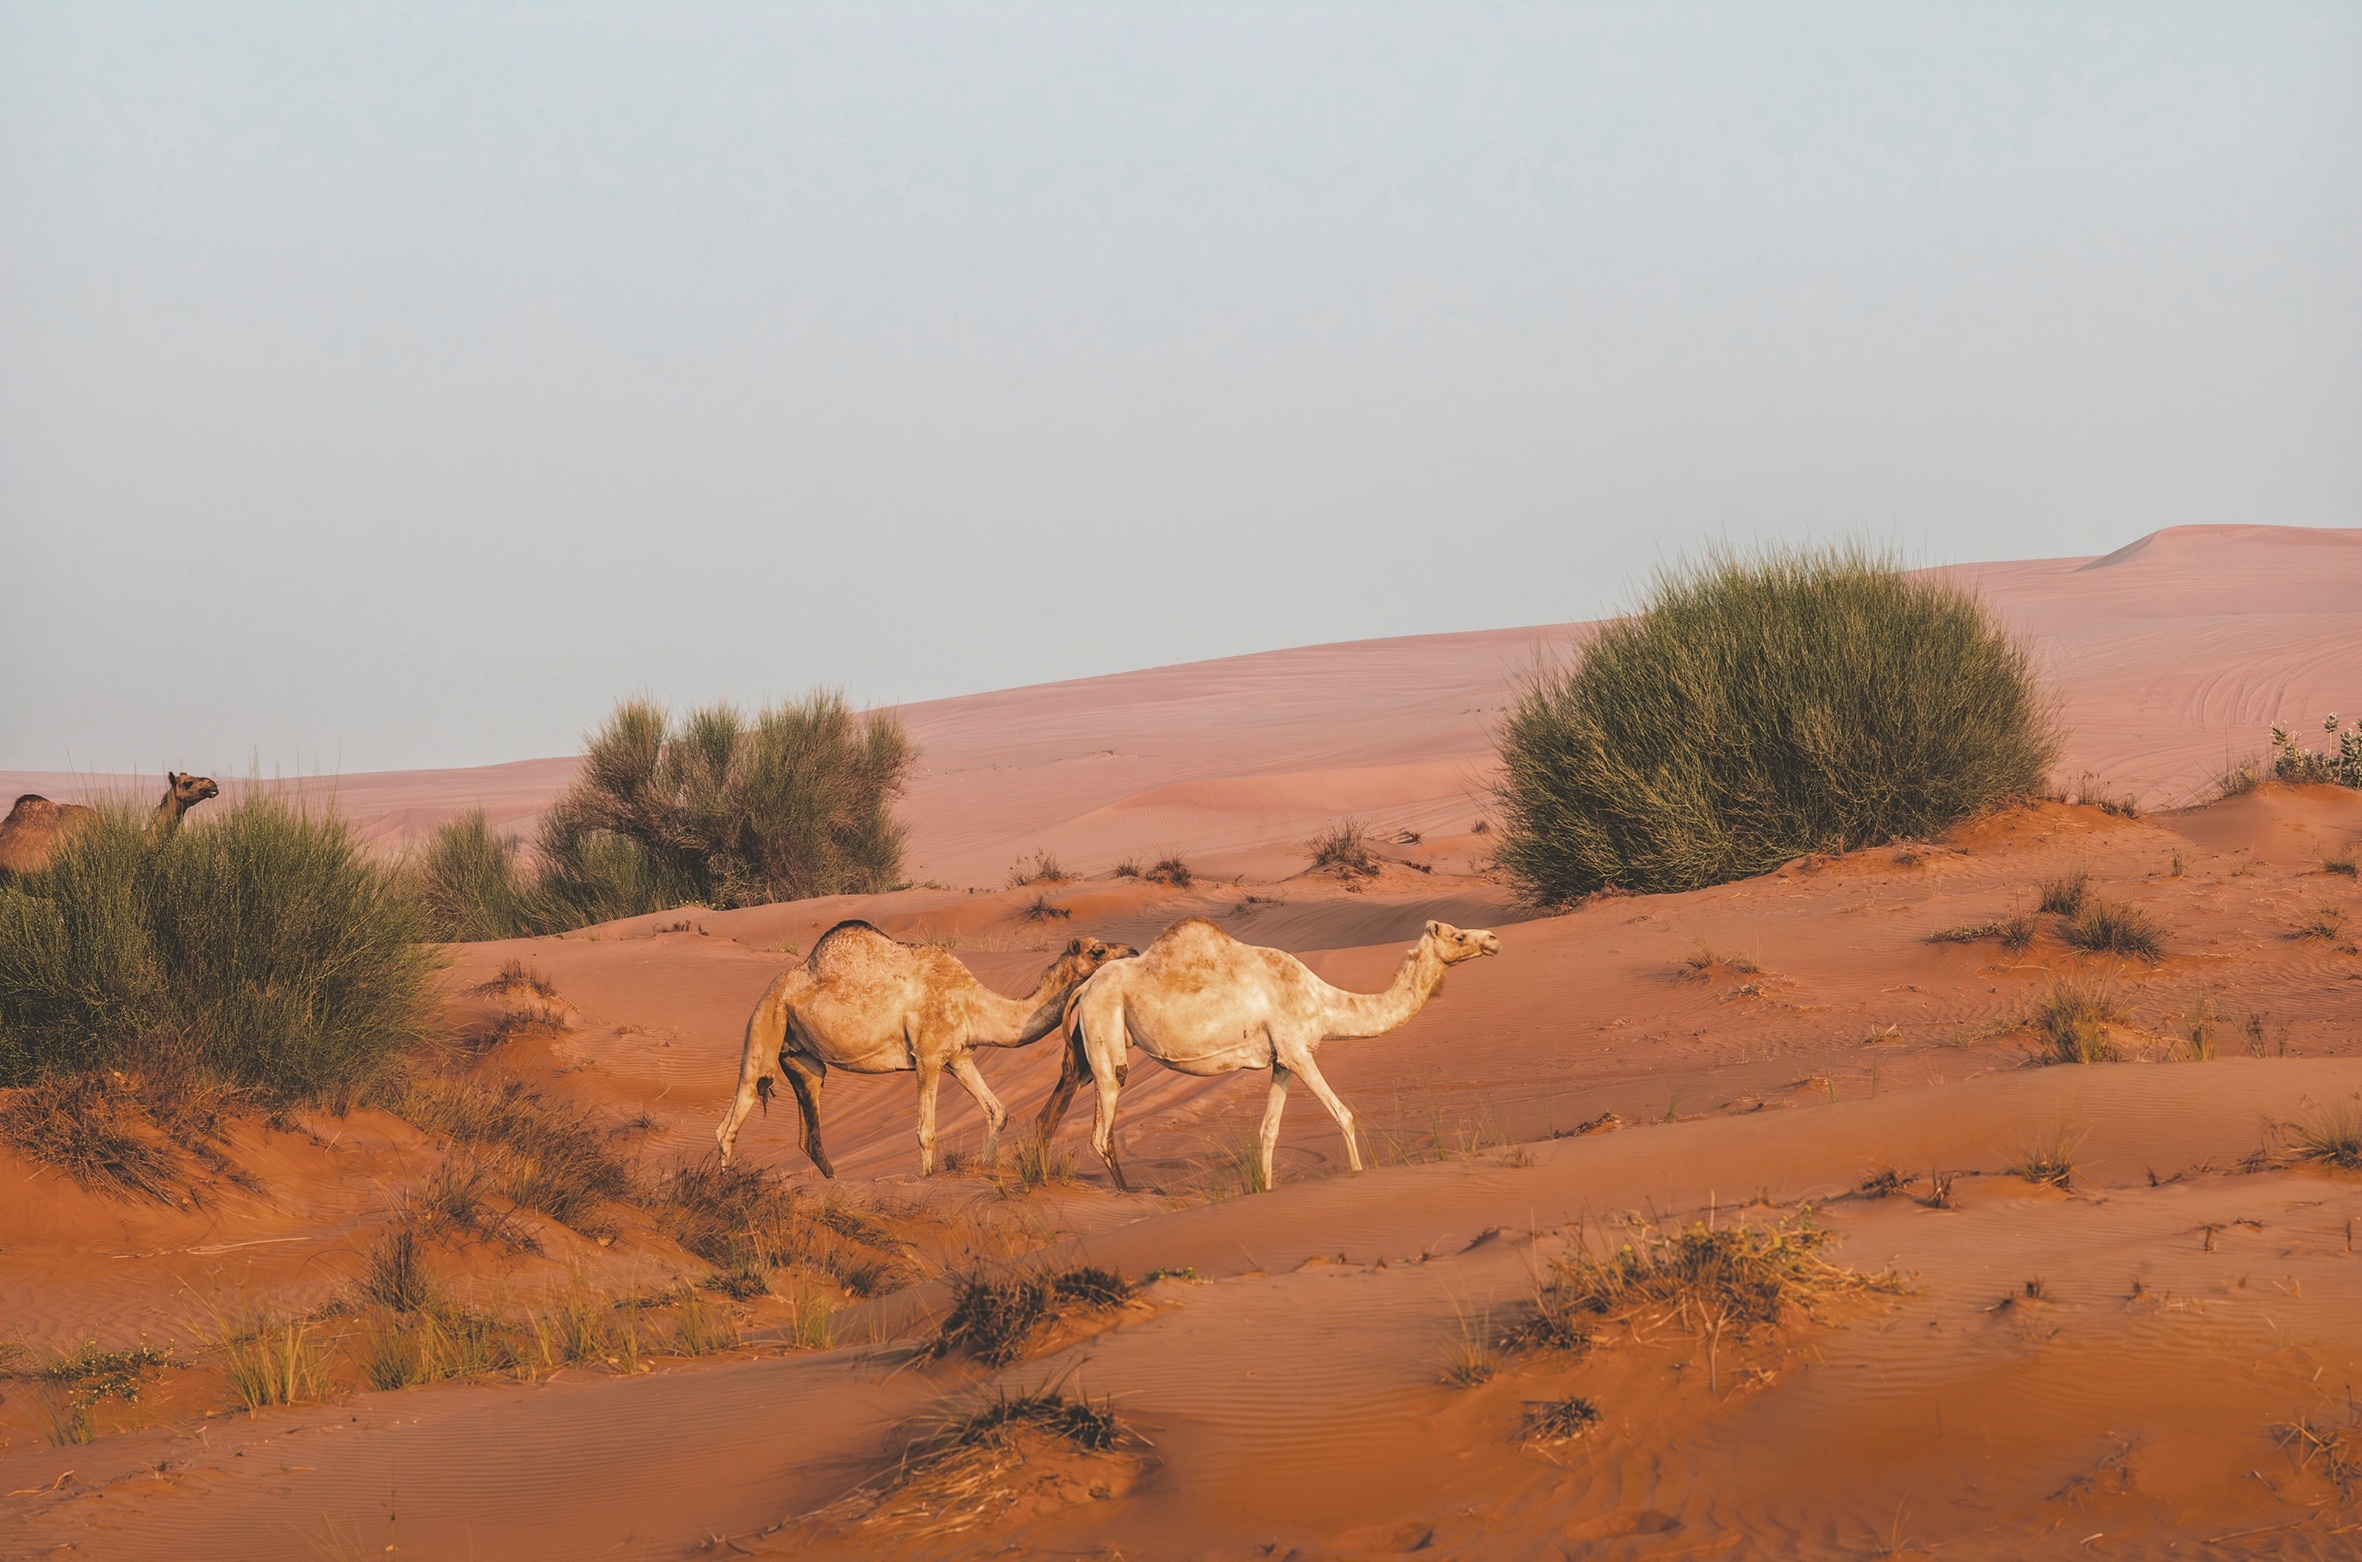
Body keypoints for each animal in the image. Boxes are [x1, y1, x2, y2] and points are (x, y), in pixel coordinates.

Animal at [715, 921, 1137, 1177]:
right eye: (1097, 951)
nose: (1133, 951)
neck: (972, 1002)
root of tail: (777, 983)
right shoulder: (928, 1056)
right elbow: (926, 1132)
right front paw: (929, 1178)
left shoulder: (959, 1056)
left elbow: (997, 1111)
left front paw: (987, 1167)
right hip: (765, 1021)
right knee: (738, 1107)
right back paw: (725, 1184)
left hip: (800, 1054)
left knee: (808, 1111)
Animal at [1036, 916, 1502, 1192]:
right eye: (1459, 935)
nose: (1494, 939)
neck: (1323, 1001)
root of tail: (1084, 987)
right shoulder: (1298, 1052)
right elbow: (1344, 1115)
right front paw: (1357, 1174)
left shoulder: (1282, 1062)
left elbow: (1268, 1132)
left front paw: (1267, 1189)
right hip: (1105, 1031)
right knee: (1102, 1127)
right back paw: (1132, 1194)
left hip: (1085, 1047)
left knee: (1053, 1111)